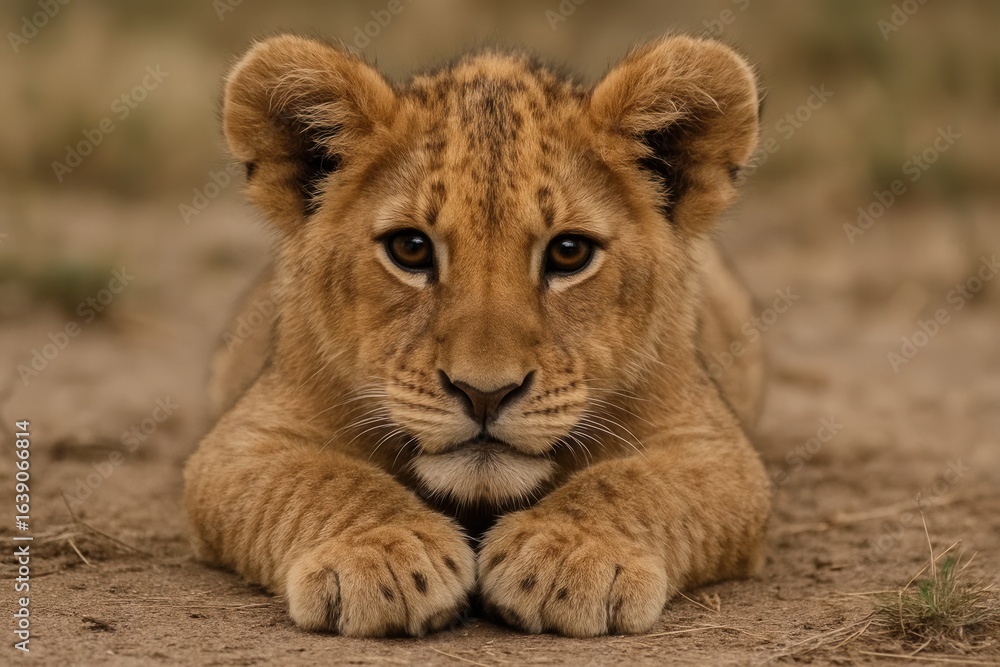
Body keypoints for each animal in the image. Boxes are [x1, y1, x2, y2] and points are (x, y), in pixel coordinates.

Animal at [184, 33, 770, 638]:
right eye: (411, 249)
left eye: (569, 252)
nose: (485, 394)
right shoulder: (242, 441)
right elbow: (321, 481)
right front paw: (385, 554)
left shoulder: (716, 450)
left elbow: (631, 485)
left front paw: (566, 552)